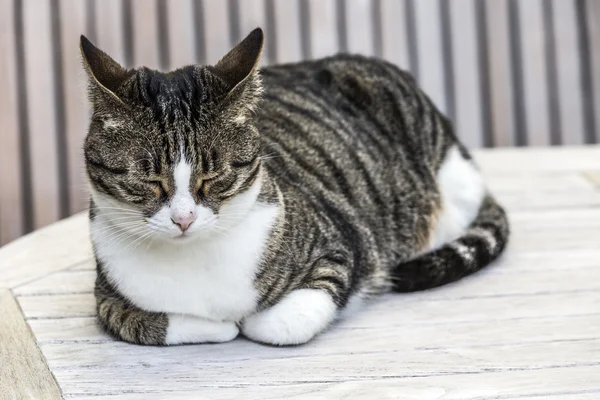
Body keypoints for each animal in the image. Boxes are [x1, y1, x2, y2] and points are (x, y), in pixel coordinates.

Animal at [82, 28, 508, 346]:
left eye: (213, 177)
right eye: (149, 181)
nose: (184, 219)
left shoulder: (341, 247)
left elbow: (279, 323)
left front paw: (243, 322)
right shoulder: (106, 296)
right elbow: (140, 322)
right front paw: (217, 325)